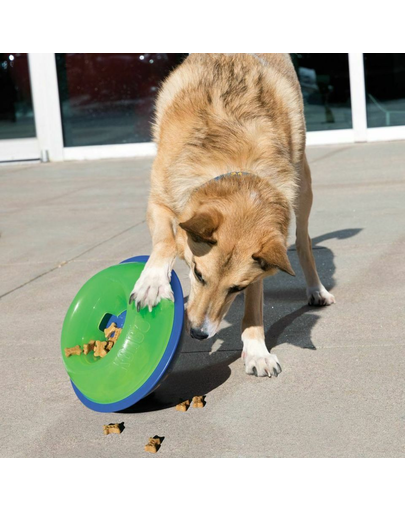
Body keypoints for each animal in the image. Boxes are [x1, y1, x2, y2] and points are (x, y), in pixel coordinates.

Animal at [129, 55, 334, 376]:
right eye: (198, 274)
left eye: (237, 288)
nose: (198, 333)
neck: (234, 167)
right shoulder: (159, 202)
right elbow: (166, 242)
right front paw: (152, 283)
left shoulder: (262, 258)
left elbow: (254, 308)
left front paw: (257, 351)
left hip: (303, 188)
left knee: (304, 242)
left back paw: (317, 289)